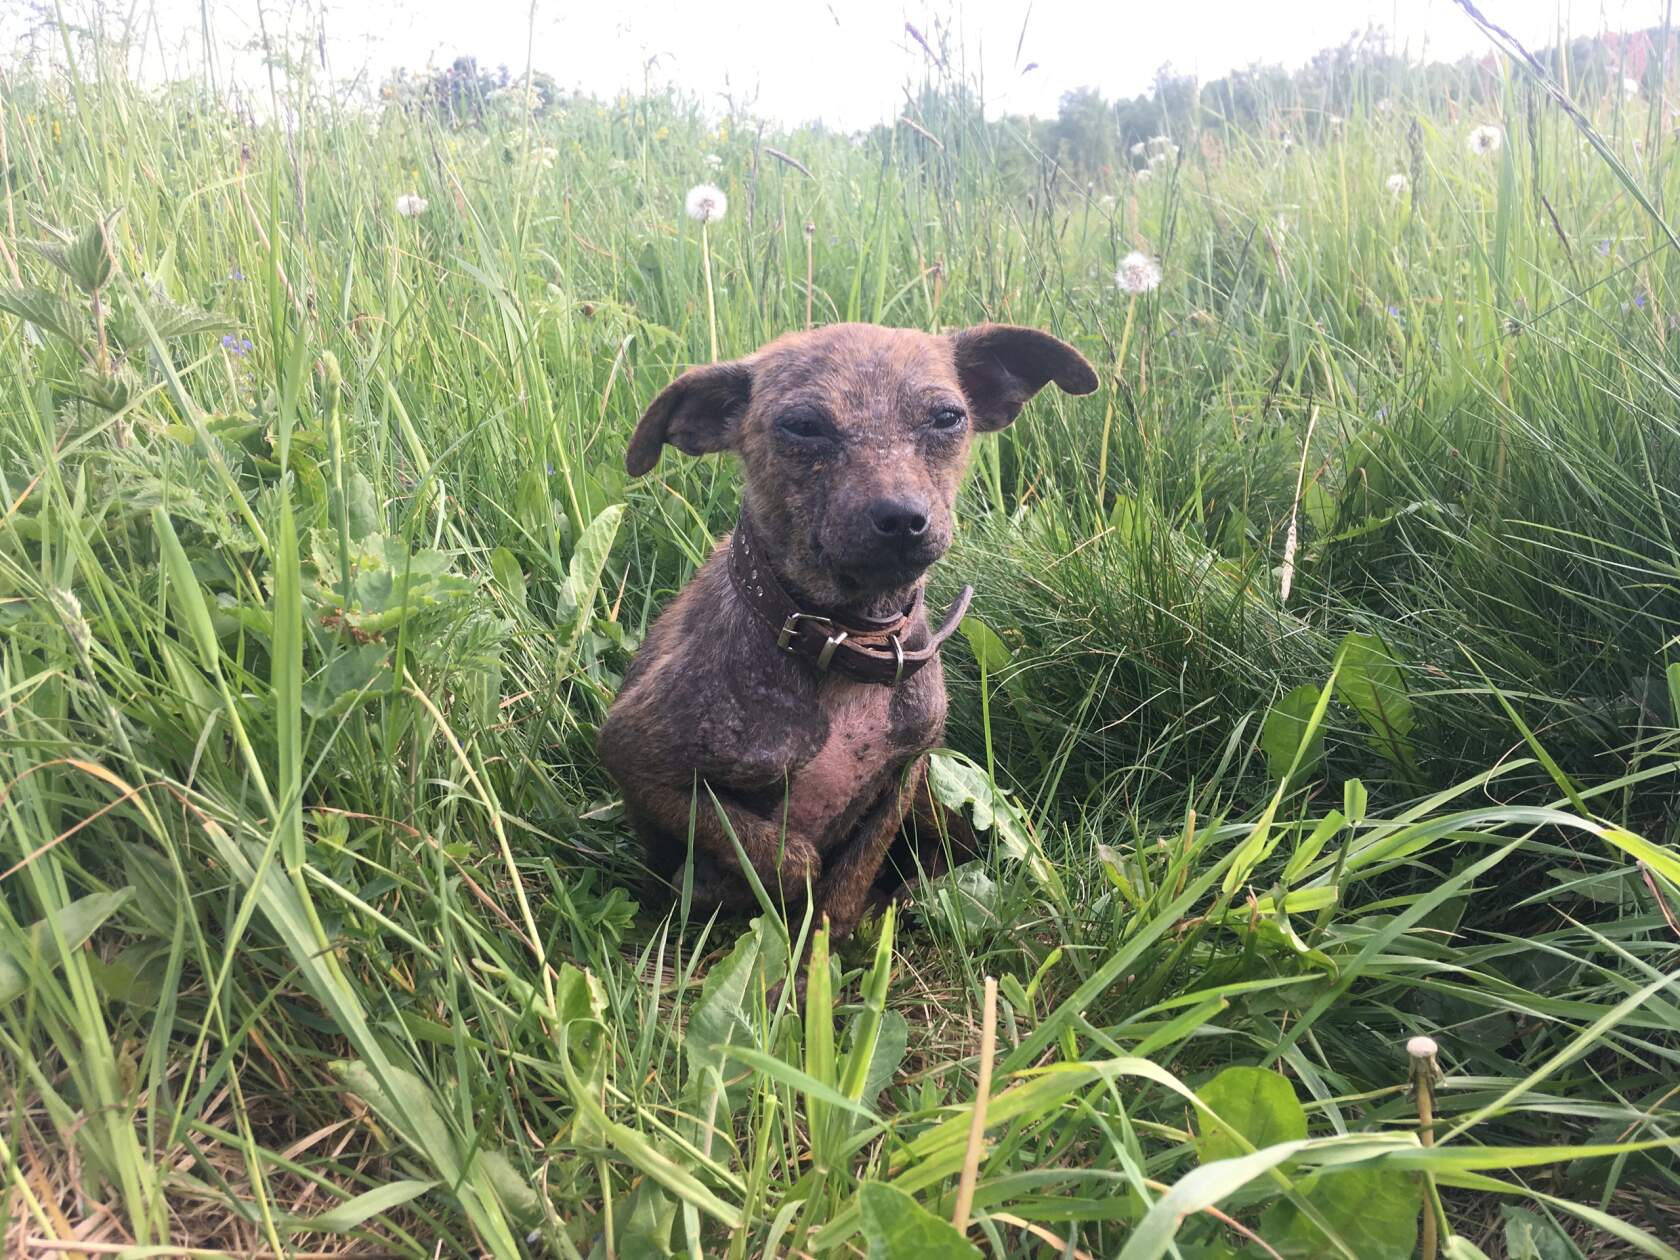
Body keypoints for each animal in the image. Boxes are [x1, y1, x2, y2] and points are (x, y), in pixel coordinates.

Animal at [599, 322, 1097, 945]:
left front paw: (825, 945)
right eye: (802, 426)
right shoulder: (642, 764)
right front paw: (743, 894)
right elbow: (789, 856)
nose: (902, 518)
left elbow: (850, 877)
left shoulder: (903, 776)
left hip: (934, 797)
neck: (846, 642)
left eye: (948, 417)